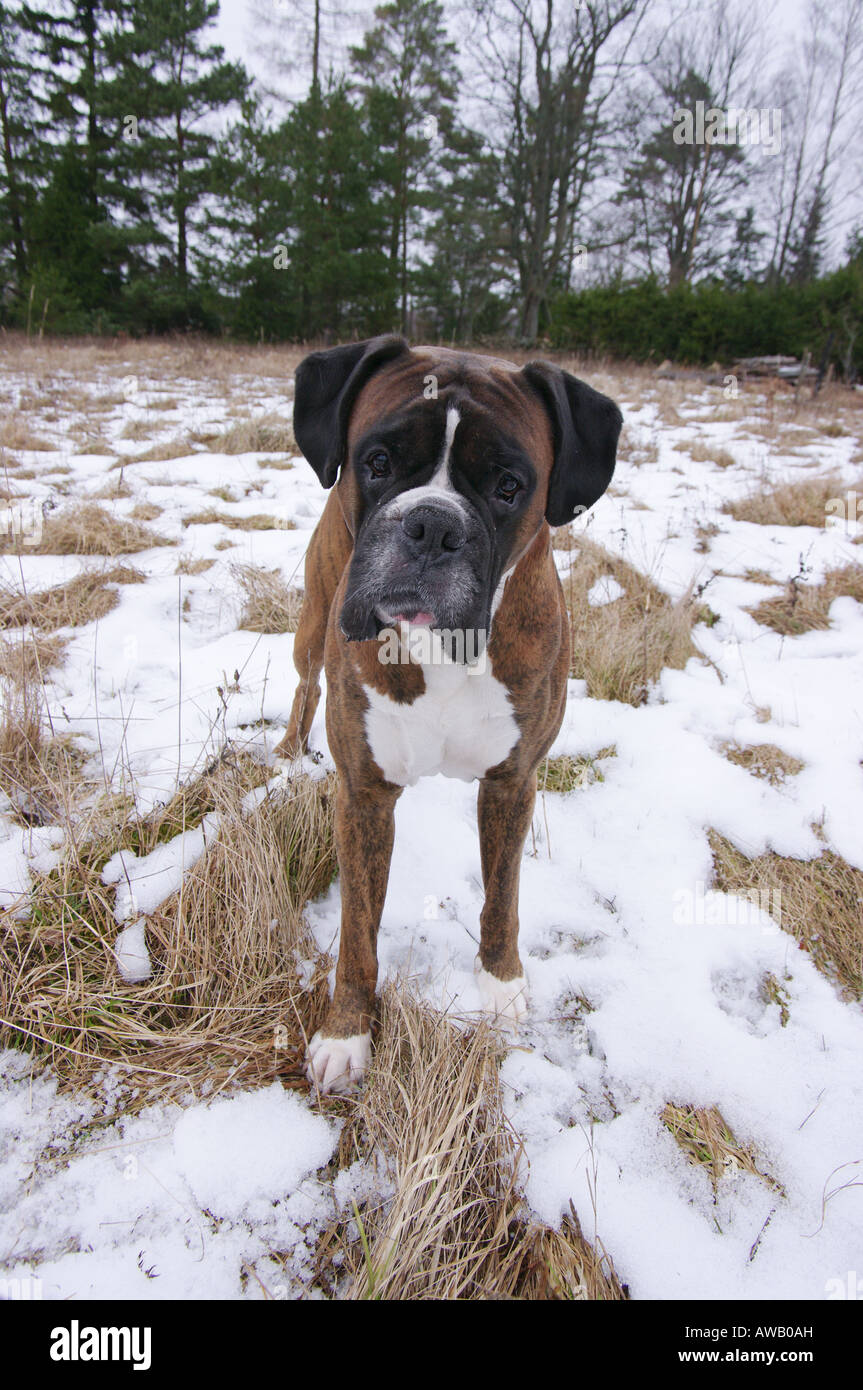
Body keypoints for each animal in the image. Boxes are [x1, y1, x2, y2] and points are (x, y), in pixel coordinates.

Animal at [279, 339, 622, 1095]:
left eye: (508, 486)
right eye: (377, 462)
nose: (432, 524)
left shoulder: (511, 783)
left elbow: (502, 895)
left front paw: (499, 985)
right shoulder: (364, 794)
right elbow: (357, 929)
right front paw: (346, 1033)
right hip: (313, 621)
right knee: (304, 684)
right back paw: (287, 750)